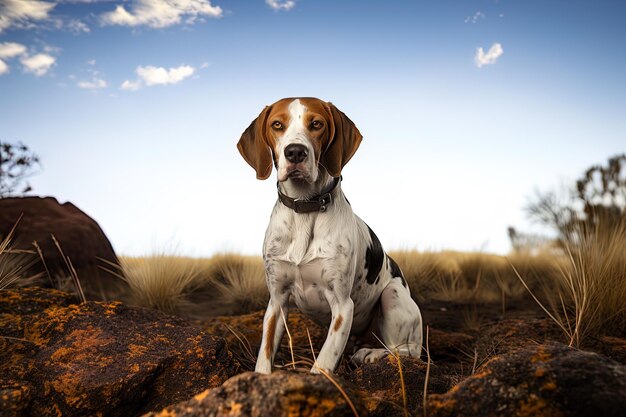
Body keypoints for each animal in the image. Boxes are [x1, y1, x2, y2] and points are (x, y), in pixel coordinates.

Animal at [236, 97, 422, 374]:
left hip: (392, 296)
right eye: (277, 124)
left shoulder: (343, 306)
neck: (305, 207)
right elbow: (265, 356)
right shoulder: (277, 301)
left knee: (406, 351)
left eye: (316, 124)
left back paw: (371, 353)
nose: (295, 152)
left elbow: (322, 365)